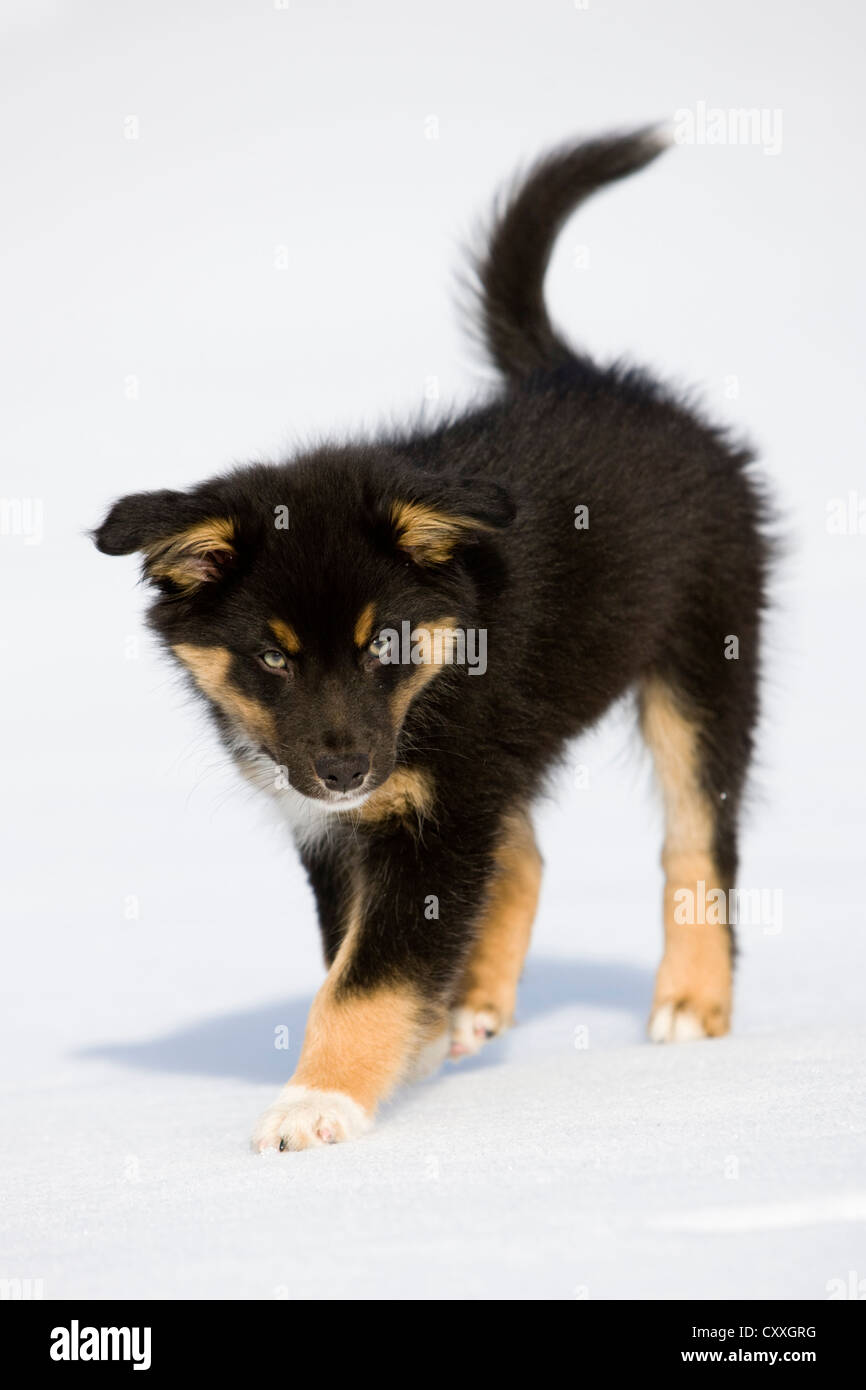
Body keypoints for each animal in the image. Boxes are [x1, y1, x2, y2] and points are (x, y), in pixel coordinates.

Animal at [94, 130, 772, 1150]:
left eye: (385, 644)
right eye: (272, 656)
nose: (342, 768)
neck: (443, 674)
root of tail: (594, 375)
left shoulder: (432, 809)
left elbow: (367, 975)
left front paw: (317, 1104)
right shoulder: (348, 818)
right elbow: (358, 951)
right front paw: (405, 1046)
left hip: (704, 652)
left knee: (697, 839)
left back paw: (693, 1004)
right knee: (525, 857)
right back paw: (473, 1006)